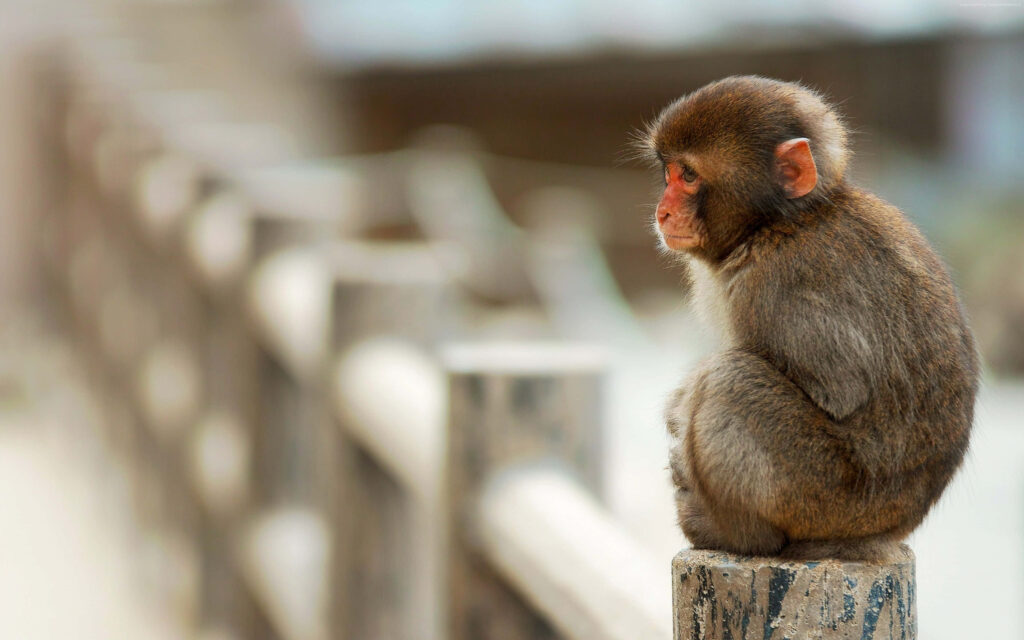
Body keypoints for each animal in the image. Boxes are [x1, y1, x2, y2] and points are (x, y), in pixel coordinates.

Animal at [639, 76, 979, 562]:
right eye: (668, 173)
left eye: (688, 175)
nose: (662, 211)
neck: (779, 224)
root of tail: (889, 530)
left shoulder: (778, 285)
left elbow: (839, 392)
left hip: (825, 498)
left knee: (730, 379)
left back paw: (736, 535)